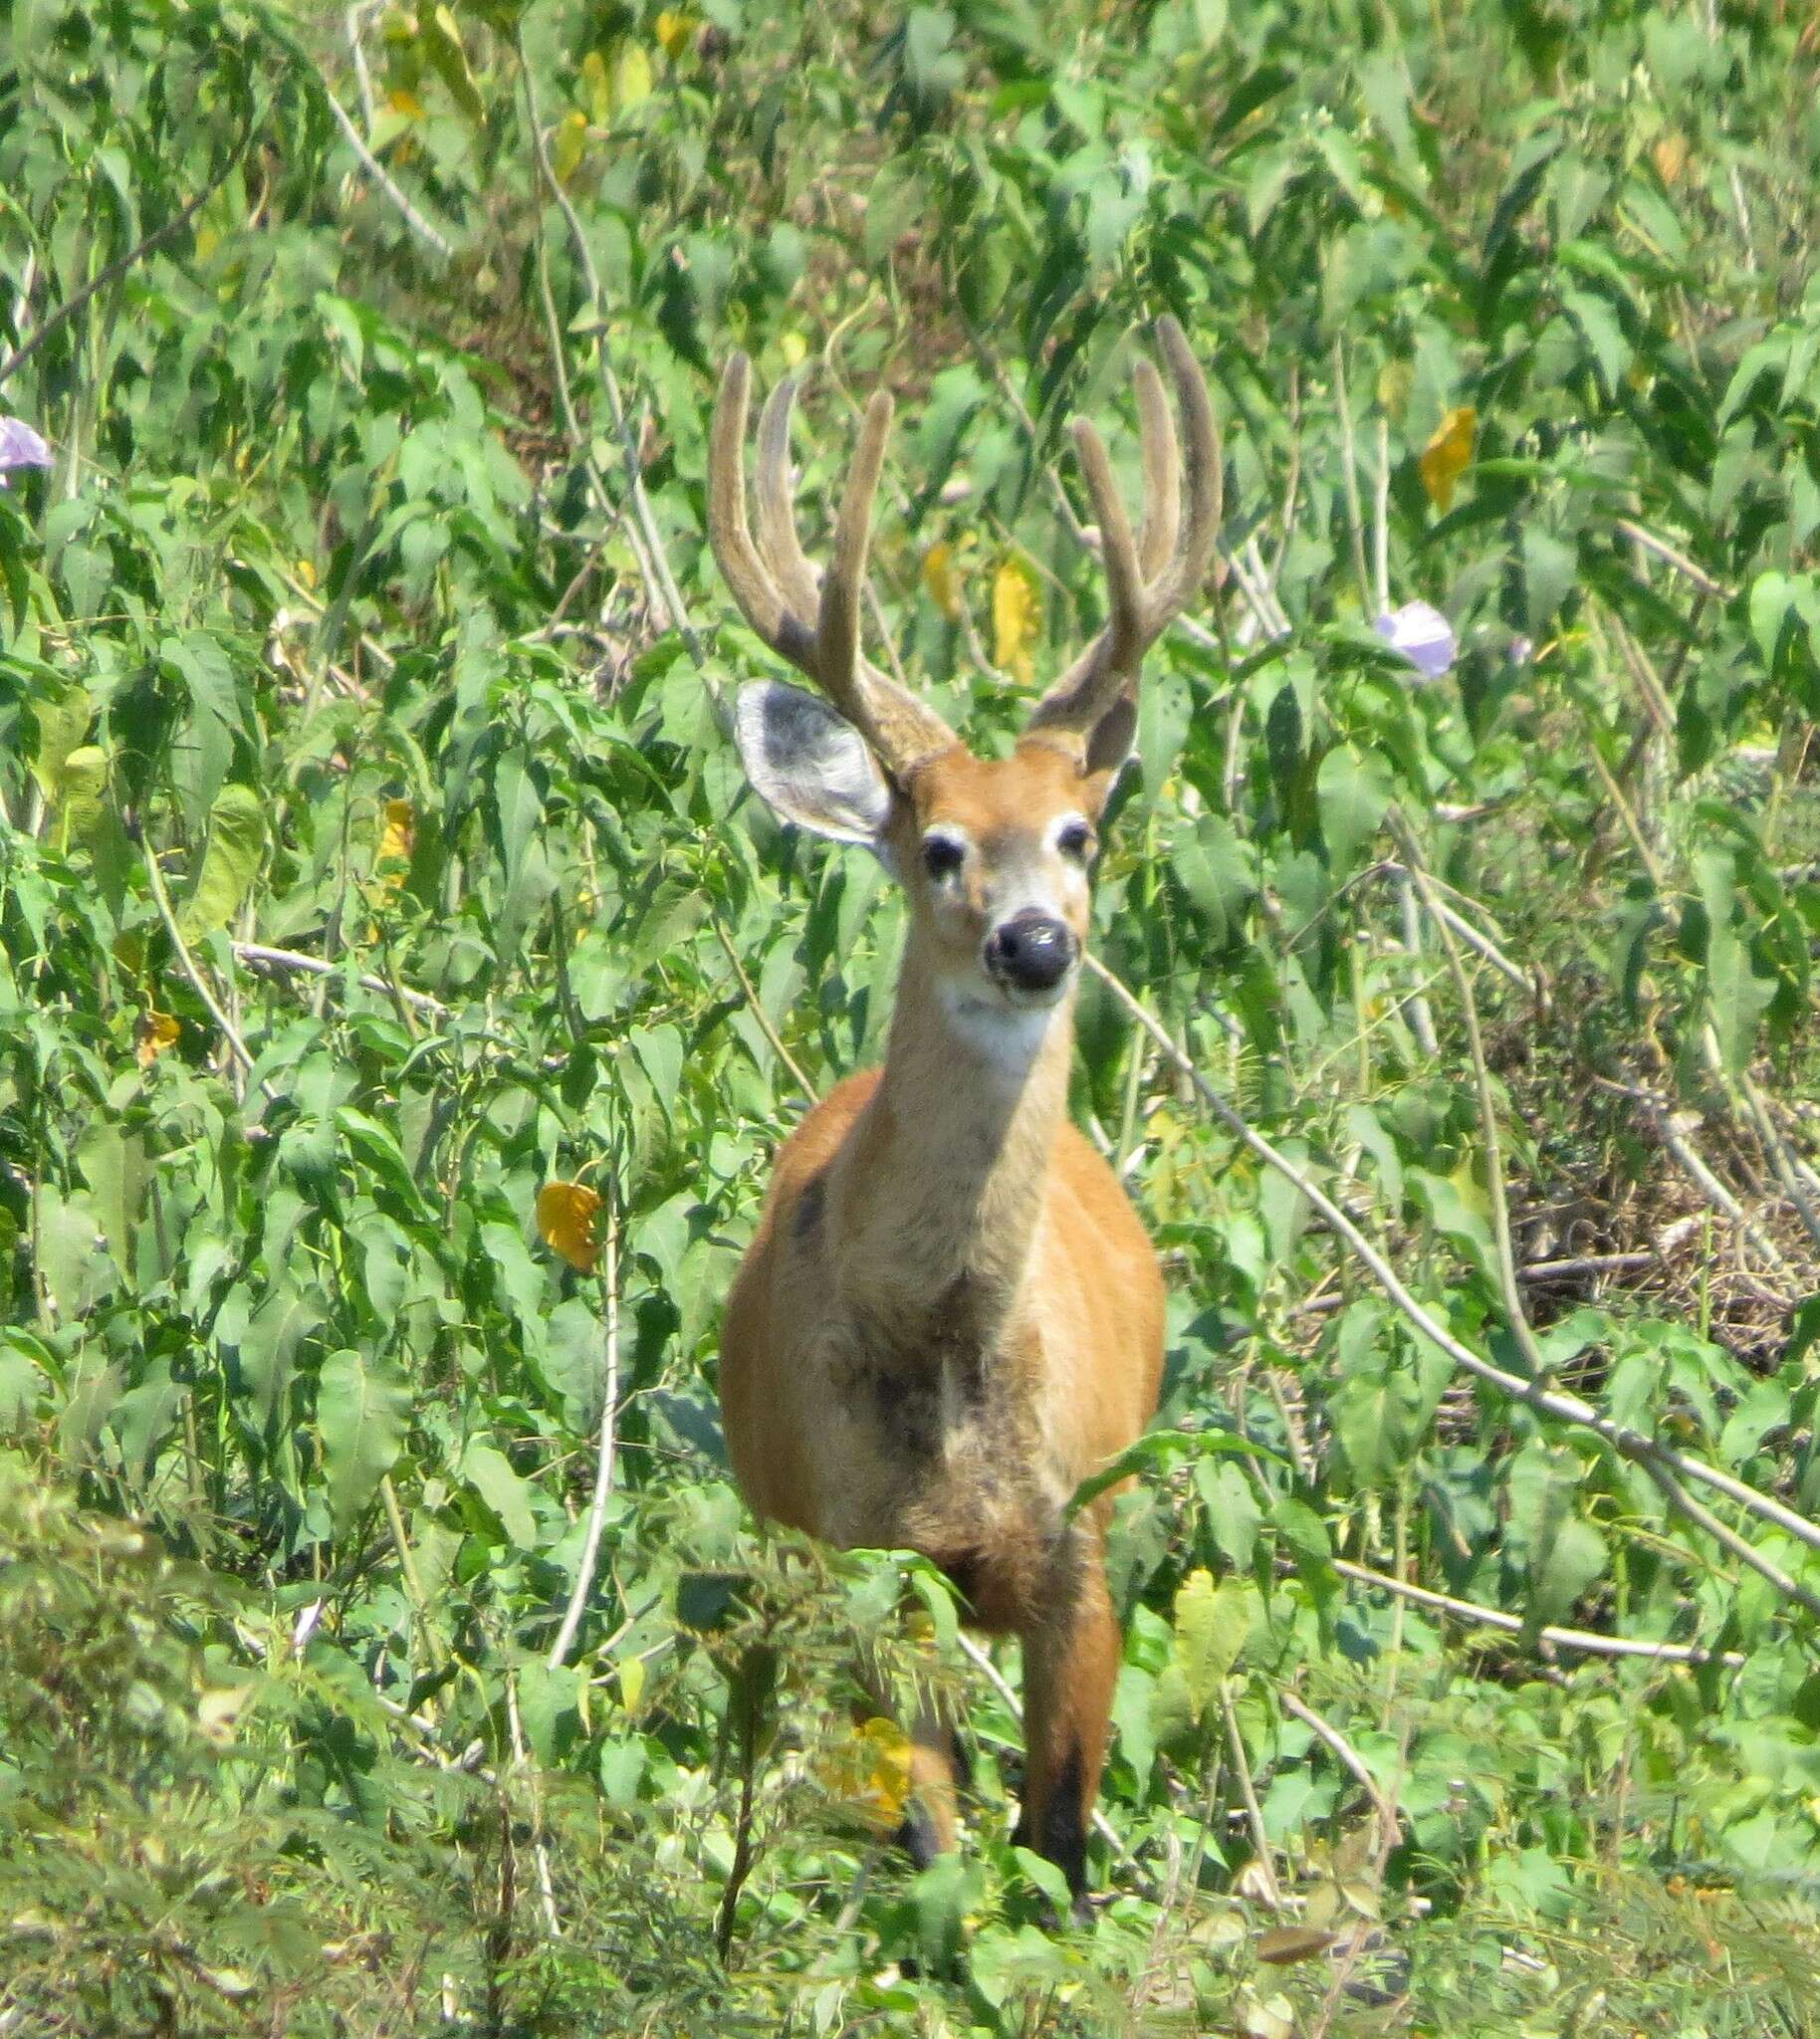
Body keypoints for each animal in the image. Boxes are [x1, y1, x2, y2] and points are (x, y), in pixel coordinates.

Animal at [701, 314, 1215, 1908]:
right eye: (936, 847)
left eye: (1078, 833)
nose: (1033, 943)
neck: (942, 1360)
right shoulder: (866, 1552)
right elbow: (924, 1830)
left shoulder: (1085, 1531)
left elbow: (1061, 1835)